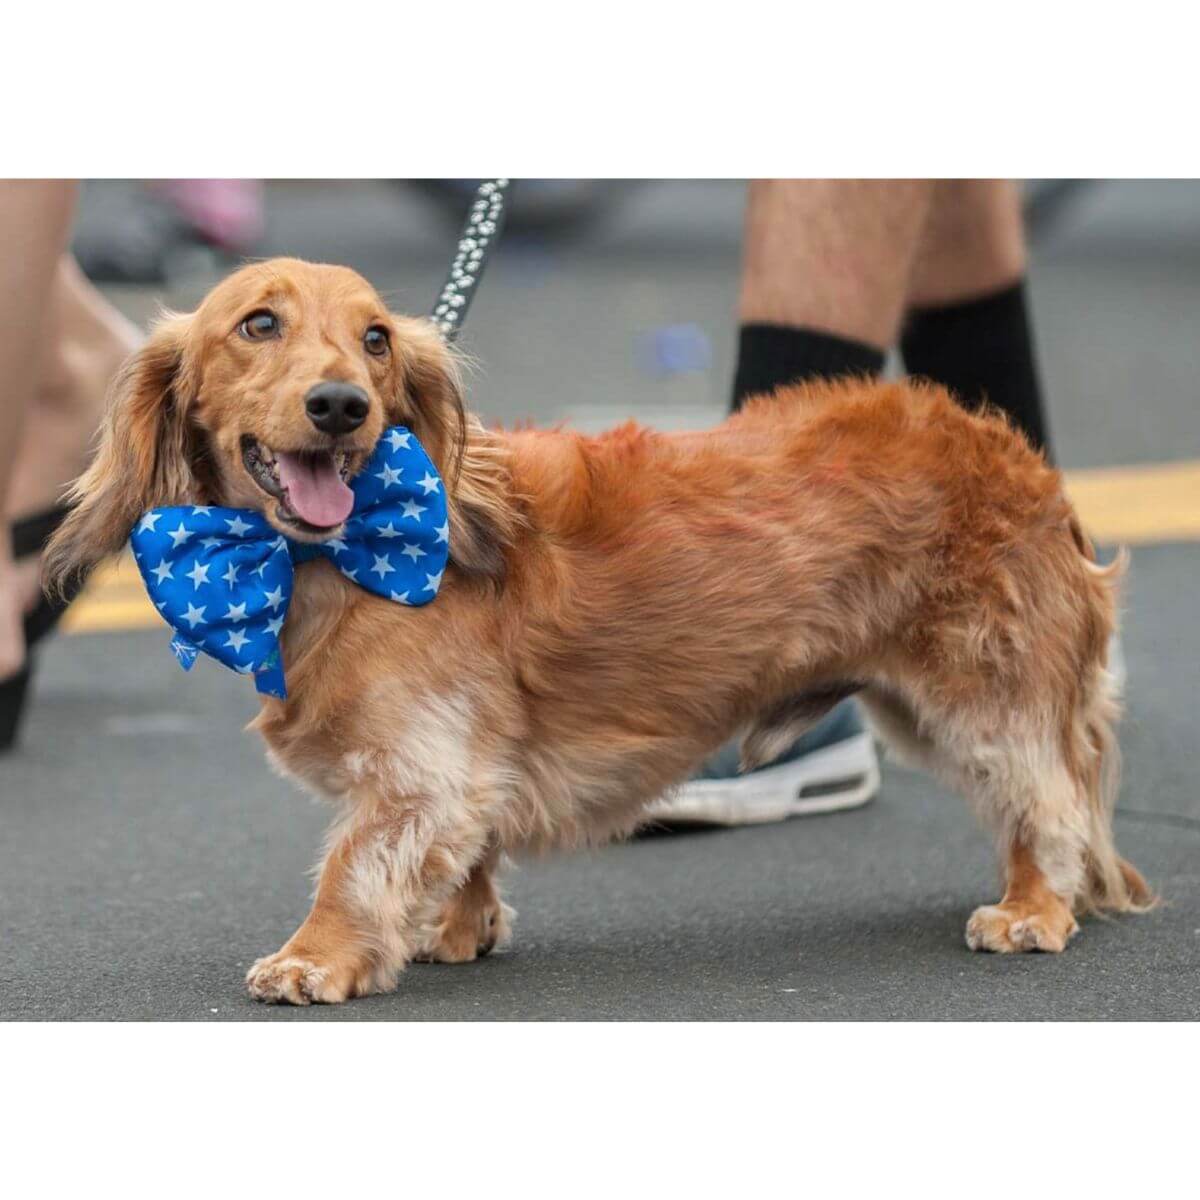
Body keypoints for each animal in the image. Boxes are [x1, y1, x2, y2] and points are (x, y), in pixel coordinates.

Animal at [45, 257, 1153, 1005]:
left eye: (375, 340)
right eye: (258, 324)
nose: (341, 406)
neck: (342, 553)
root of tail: (1015, 456)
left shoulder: (419, 772)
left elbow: (354, 865)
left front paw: (315, 957)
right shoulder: (465, 771)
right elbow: (465, 853)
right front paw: (462, 926)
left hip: (982, 696)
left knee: (1046, 806)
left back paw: (1031, 908)